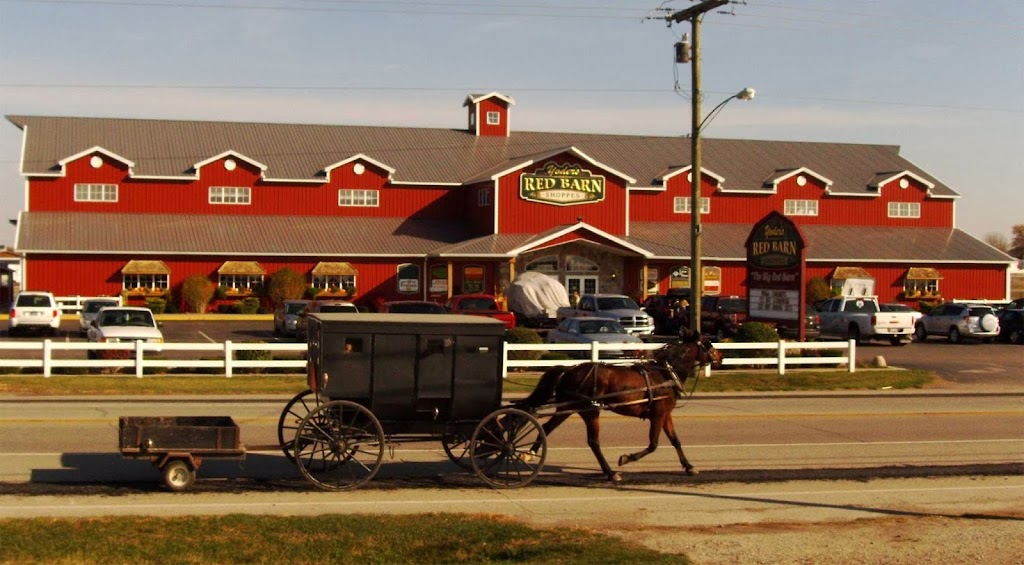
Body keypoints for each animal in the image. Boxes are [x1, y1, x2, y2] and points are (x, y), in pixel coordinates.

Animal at [516, 333, 724, 483]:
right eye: (708, 343)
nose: (721, 357)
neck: (665, 374)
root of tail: (569, 370)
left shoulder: (665, 414)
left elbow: (676, 441)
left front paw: (689, 466)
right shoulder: (657, 415)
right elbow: (653, 444)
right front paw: (626, 458)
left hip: (569, 408)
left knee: (547, 427)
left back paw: (530, 453)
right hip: (591, 411)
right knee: (593, 442)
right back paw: (610, 472)